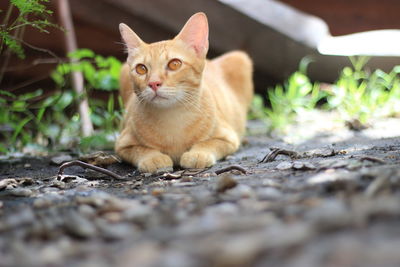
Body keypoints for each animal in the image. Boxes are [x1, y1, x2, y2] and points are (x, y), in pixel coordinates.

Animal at [115, 12, 253, 174]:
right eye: (141, 69)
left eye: (174, 64)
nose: (153, 83)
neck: (172, 117)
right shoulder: (122, 144)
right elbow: (139, 149)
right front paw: (153, 158)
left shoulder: (229, 137)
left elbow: (209, 143)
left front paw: (198, 154)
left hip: (239, 58)